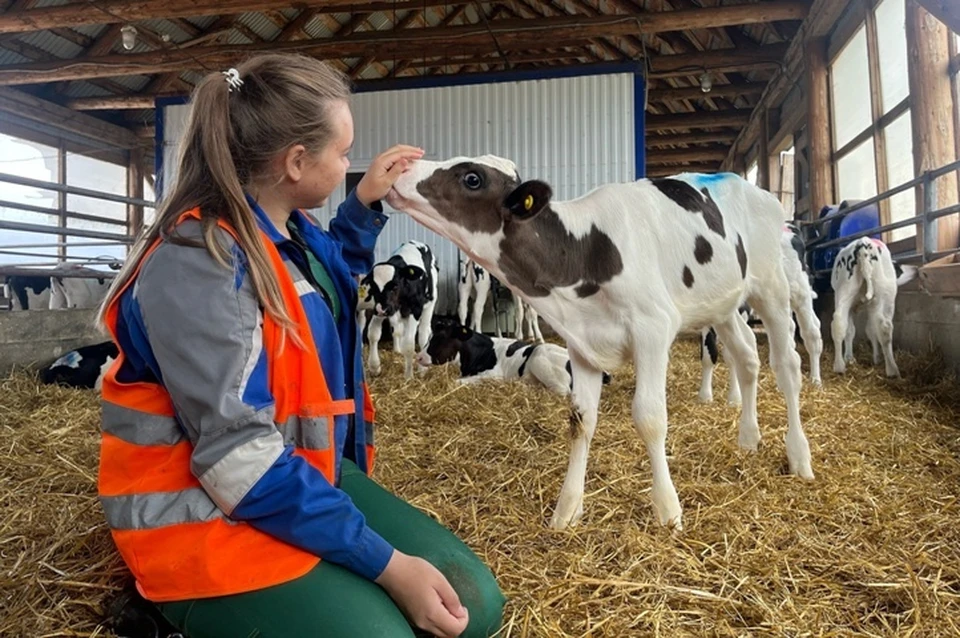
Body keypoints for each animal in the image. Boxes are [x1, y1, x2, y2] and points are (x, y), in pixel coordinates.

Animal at [360, 240, 438, 380]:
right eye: (373, 287)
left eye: (395, 286)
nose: (382, 309)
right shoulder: (380, 308)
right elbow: (373, 334)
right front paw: (374, 367)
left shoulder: (415, 310)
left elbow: (409, 344)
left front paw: (408, 376)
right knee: (398, 330)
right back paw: (398, 350)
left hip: (429, 305)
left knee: (423, 333)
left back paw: (422, 369)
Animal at [418, 318, 572, 396]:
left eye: (440, 338)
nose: (418, 357)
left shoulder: (494, 375)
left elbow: (457, 381)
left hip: (539, 356)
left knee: (562, 391)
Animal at [696, 225, 824, 404]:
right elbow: (708, 352)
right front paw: (705, 395)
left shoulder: (741, 309)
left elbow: (732, 355)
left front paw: (735, 397)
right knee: (790, 330)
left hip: (799, 291)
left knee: (811, 333)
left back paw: (815, 379)